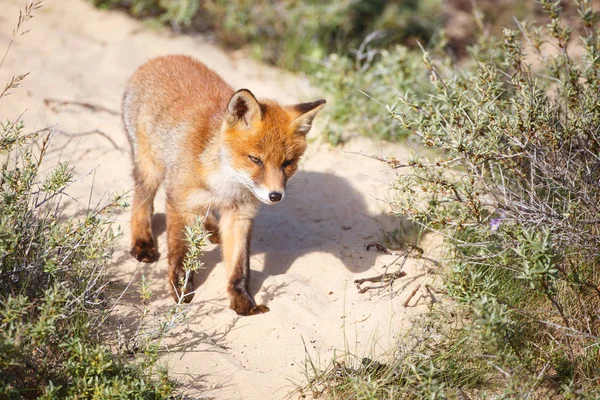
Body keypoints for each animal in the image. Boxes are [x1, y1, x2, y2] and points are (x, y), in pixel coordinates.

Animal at [120, 54, 324, 316]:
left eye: (287, 163)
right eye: (255, 159)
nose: (275, 196)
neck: (225, 184)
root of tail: (162, 57)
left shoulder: (239, 215)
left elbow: (239, 268)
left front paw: (244, 304)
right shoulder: (180, 202)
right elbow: (180, 253)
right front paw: (181, 290)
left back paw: (211, 228)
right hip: (150, 168)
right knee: (141, 203)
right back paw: (143, 242)